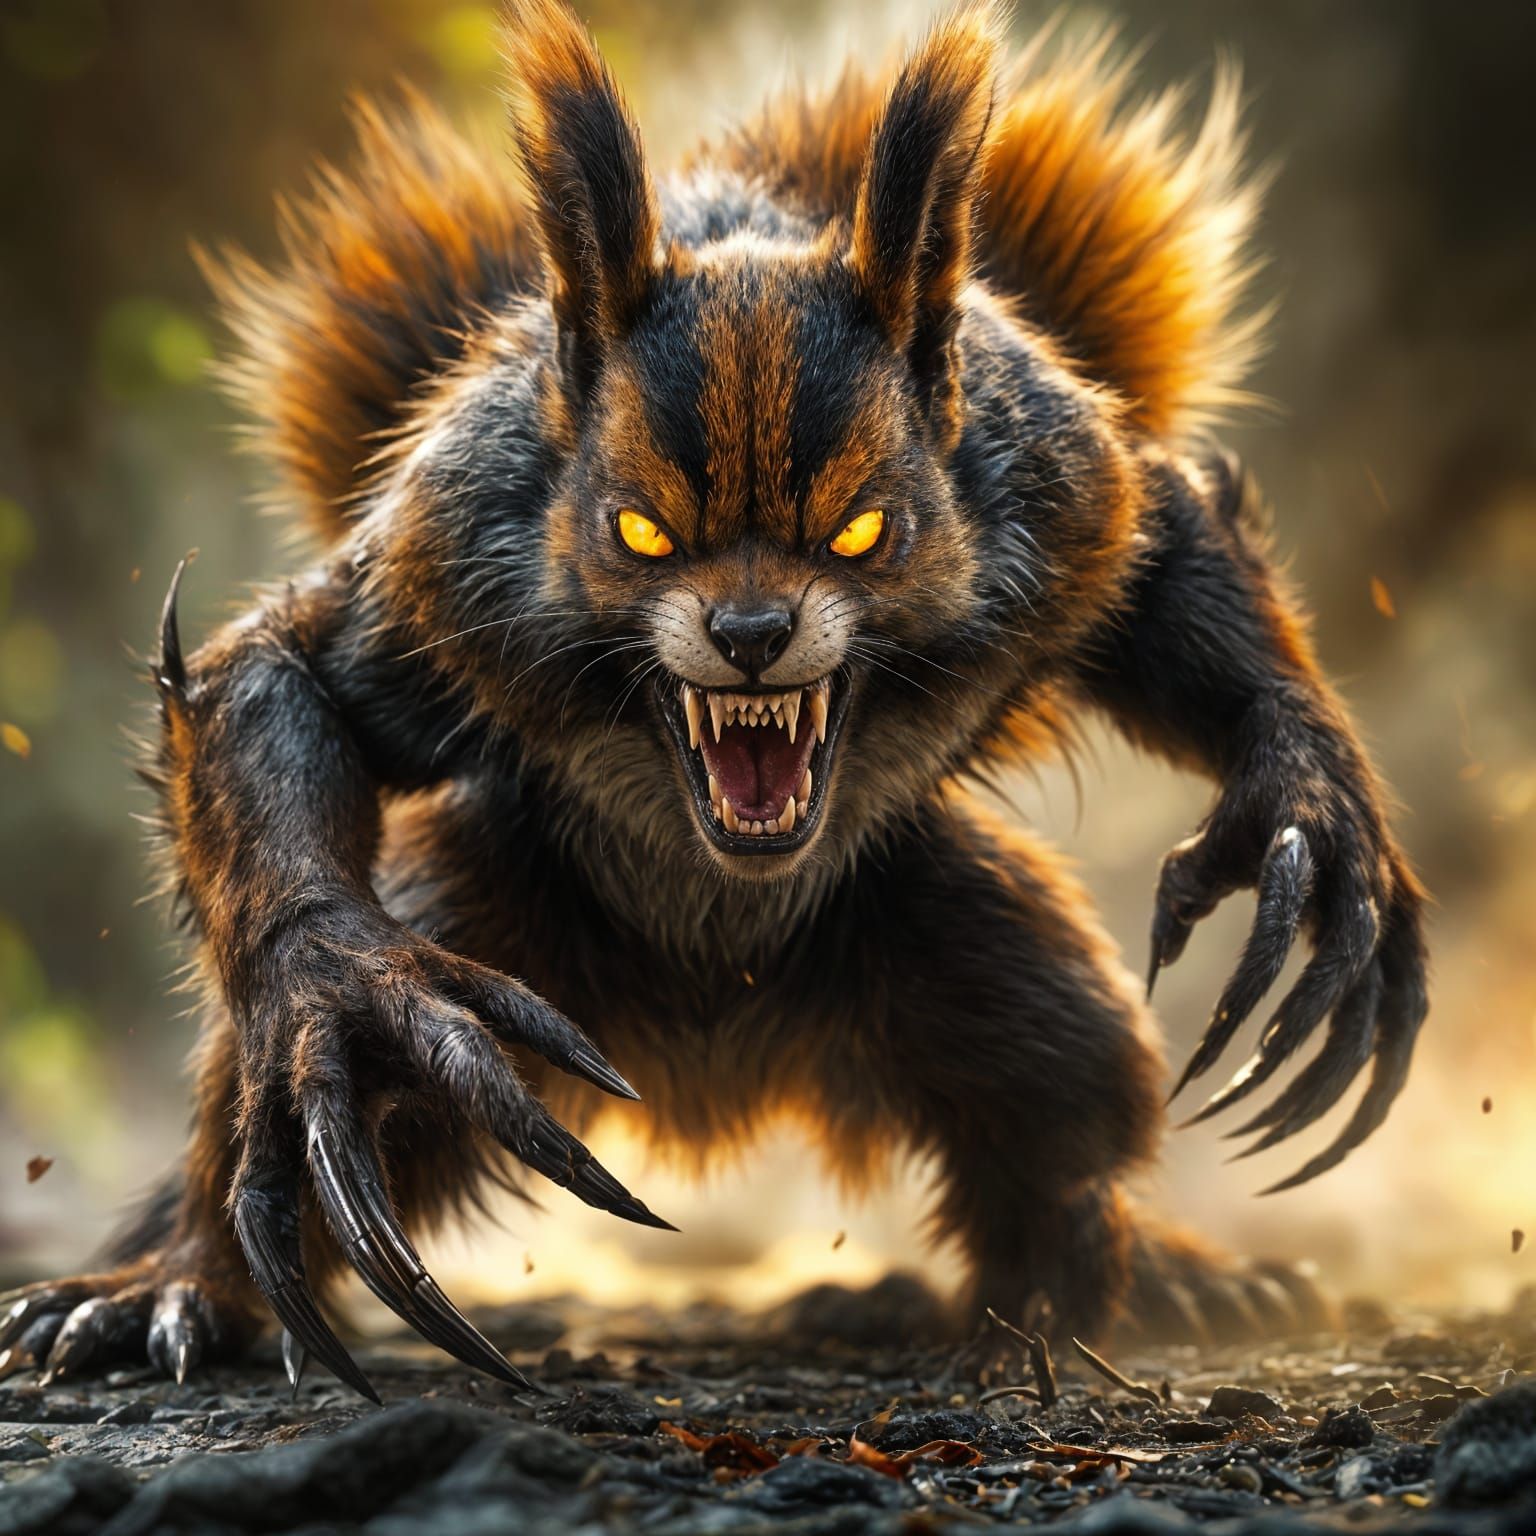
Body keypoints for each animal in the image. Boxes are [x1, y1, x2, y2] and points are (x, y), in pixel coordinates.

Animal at [1, 0, 1426, 1398]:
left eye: (863, 533)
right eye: (636, 531)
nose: (750, 634)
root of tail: (710, 1063)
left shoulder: (1067, 492)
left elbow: (1178, 575)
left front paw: (1311, 818)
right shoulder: (443, 581)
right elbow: (288, 676)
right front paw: (341, 994)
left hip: (980, 959)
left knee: (1065, 1110)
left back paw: (1144, 1284)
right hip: (494, 921)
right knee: (255, 1128)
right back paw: (168, 1287)